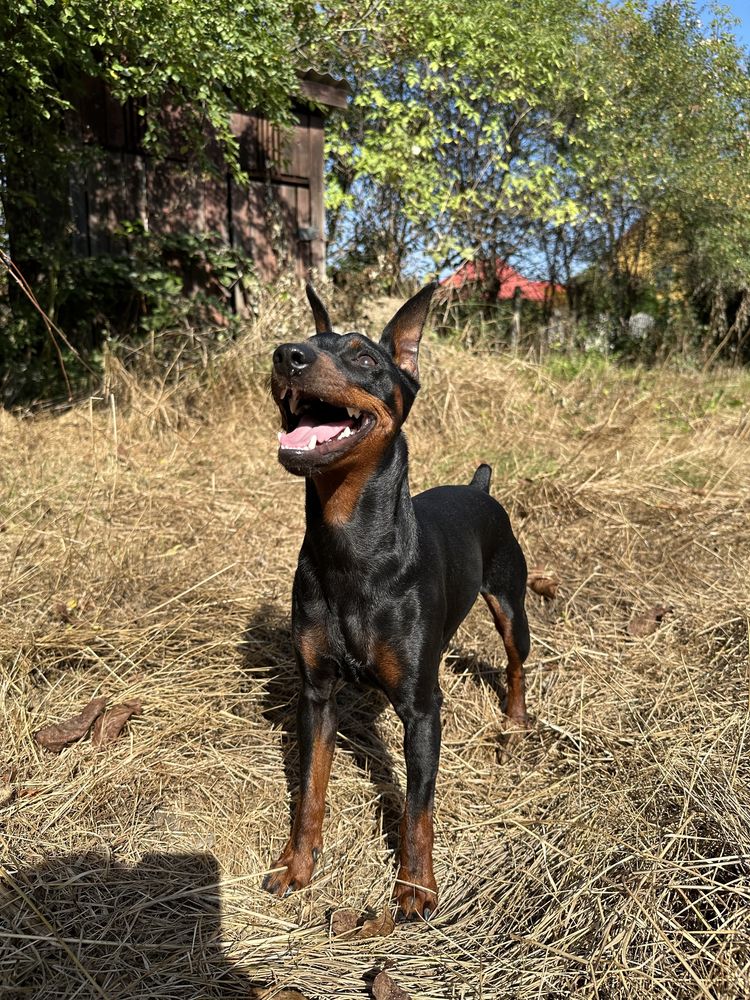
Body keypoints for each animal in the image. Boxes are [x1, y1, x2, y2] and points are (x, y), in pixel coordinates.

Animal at [262, 284, 528, 920]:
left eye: (363, 356)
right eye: (305, 340)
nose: (286, 356)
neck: (351, 546)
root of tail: (478, 486)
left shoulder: (422, 710)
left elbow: (417, 806)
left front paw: (415, 886)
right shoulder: (317, 695)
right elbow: (309, 790)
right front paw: (297, 865)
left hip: (511, 605)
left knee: (515, 663)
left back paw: (513, 722)